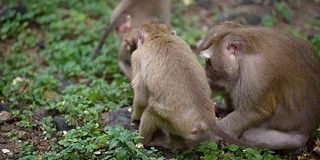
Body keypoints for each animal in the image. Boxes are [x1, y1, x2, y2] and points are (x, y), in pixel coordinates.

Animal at [130, 23, 270, 149]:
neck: (159, 36)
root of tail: (205, 117)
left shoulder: (136, 56)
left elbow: (141, 97)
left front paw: (135, 119)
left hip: (178, 123)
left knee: (152, 111)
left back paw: (144, 142)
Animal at [198, 21, 320, 150]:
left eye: (208, 61)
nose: (206, 71)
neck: (245, 55)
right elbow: (221, 84)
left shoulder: (255, 74)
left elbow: (254, 113)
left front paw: (202, 136)